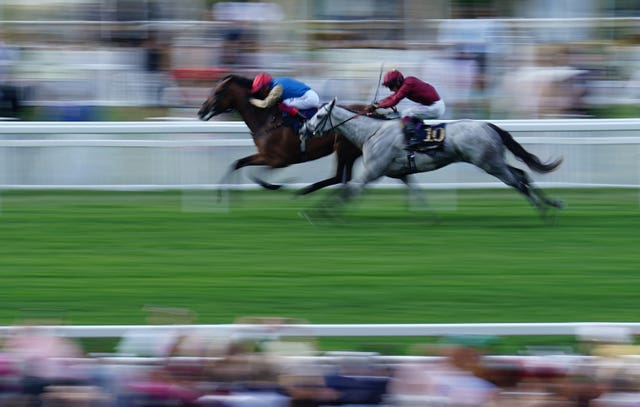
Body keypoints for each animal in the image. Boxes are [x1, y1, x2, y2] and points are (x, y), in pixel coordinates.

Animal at [198, 75, 362, 196]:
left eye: (218, 92)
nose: (201, 112)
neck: (266, 120)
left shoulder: (278, 160)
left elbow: (254, 174)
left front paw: (280, 184)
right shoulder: (265, 155)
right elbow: (238, 163)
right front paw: (224, 193)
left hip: (343, 149)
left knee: (340, 176)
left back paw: (306, 190)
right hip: (351, 152)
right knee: (344, 177)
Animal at [298, 98, 564, 218]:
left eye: (319, 115)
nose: (302, 130)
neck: (372, 132)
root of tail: (489, 125)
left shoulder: (373, 170)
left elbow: (349, 189)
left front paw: (319, 214)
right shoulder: (398, 173)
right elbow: (417, 193)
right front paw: (432, 217)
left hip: (490, 163)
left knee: (518, 181)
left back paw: (544, 209)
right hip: (495, 161)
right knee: (522, 174)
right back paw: (550, 204)